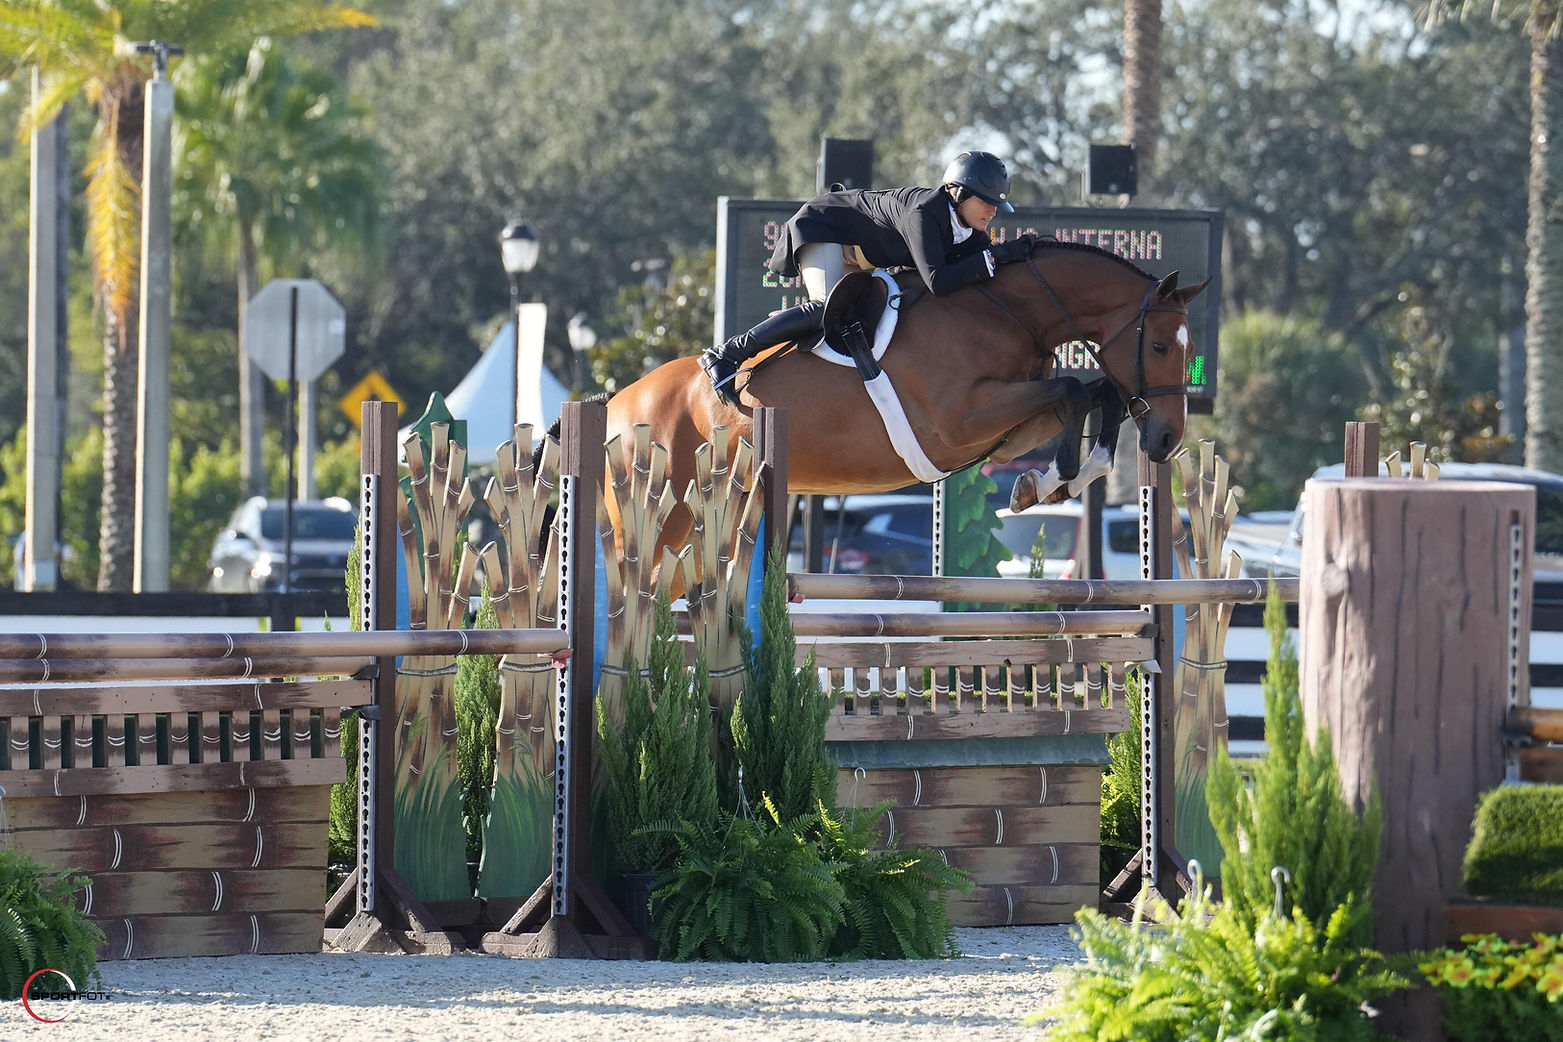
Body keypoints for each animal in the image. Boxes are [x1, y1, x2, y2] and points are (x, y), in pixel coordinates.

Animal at [603, 238, 1210, 562]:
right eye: (1159, 345)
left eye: (1189, 350)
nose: (1167, 440)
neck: (1007, 311)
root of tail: (615, 404)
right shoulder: (960, 422)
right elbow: (1073, 388)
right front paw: (1052, 480)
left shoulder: (1009, 431)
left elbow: (1096, 392)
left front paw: (1049, 483)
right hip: (660, 517)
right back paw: (722, 366)